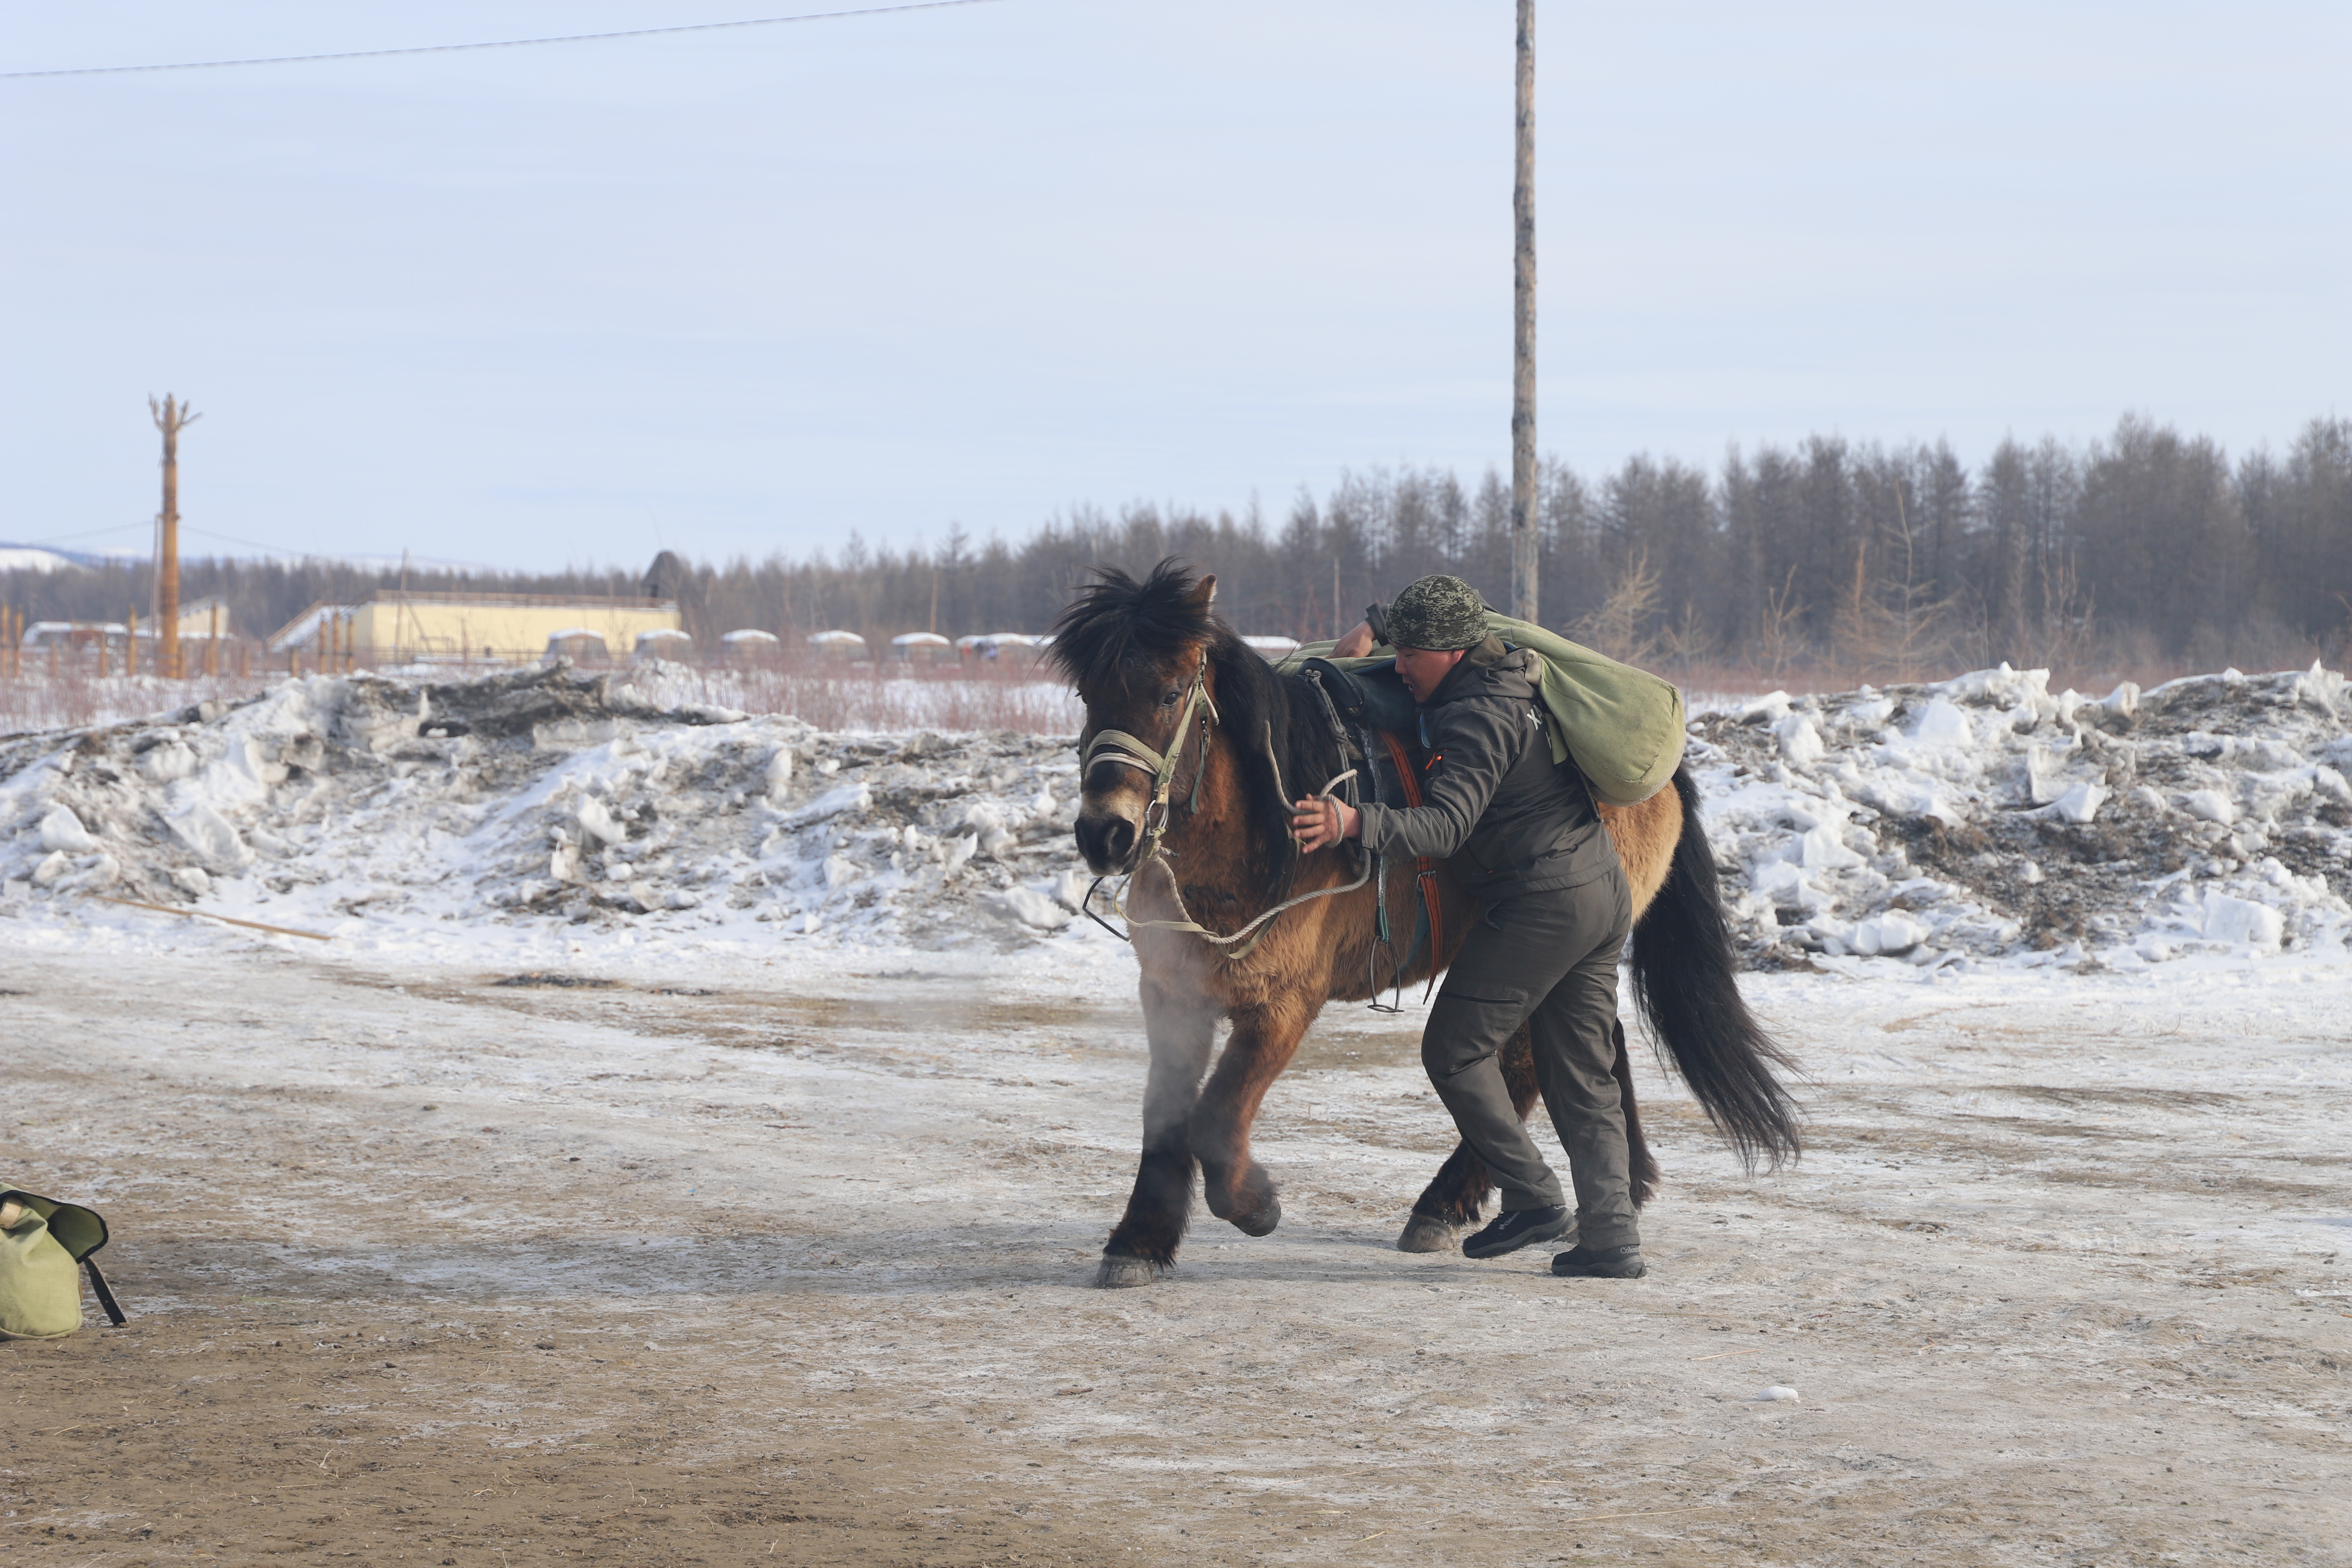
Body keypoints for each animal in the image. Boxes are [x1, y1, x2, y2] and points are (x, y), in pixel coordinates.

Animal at [1054, 564, 1797, 1288]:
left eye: (1171, 692)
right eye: (1090, 694)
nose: (1105, 833)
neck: (1261, 836)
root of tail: (1665, 777)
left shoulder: (1283, 1005)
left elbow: (1213, 1119)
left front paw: (1255, 1203)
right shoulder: (1173, 994)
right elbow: (1166, 1117)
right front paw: (1141, 1240)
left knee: (1523, 1070)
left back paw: (1454, 1205)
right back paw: (1616, 1198)